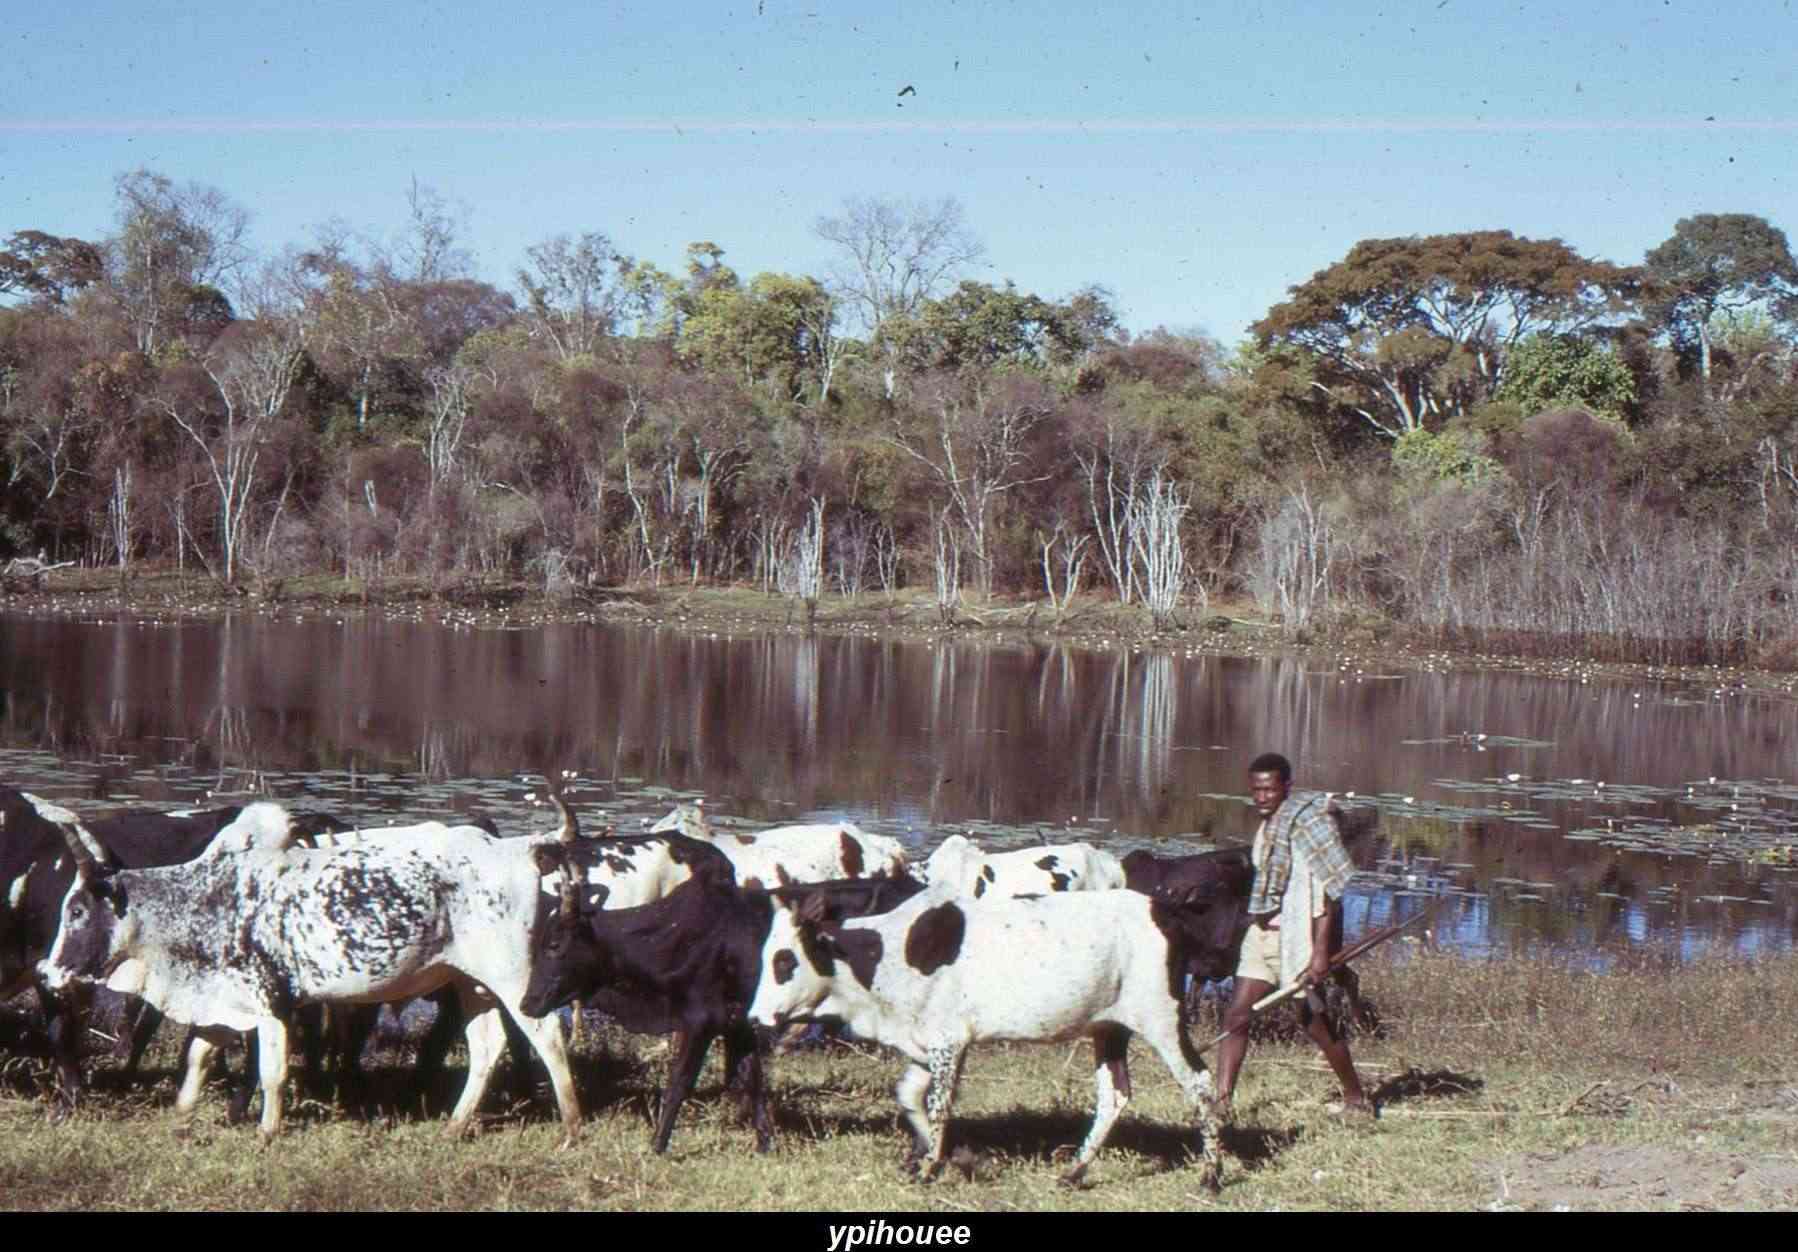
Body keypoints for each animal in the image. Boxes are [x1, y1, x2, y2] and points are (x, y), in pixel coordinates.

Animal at [517, 834, 913, 1158]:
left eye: (555, 944)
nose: (526, 1003)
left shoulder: (700, 1022)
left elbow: (679, 1083)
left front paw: (657, 1145)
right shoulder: (738, 1024)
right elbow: (750, 1082)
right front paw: (765, 1145)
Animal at [744, 874, 1251, 1187]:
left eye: (785, 961)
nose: (753, 1018)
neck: (886, 952)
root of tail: (1164, 908)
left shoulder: (949, 1041)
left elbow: (939, 1105)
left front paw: (932, 1166)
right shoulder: (924, 1044)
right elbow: (909, 1097)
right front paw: (940, 1158)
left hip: (1162, 1021)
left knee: (1200, 1083)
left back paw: (1211, 1175)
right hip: (1109, 1029)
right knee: (1115, 1094)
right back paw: (1074, 1171)